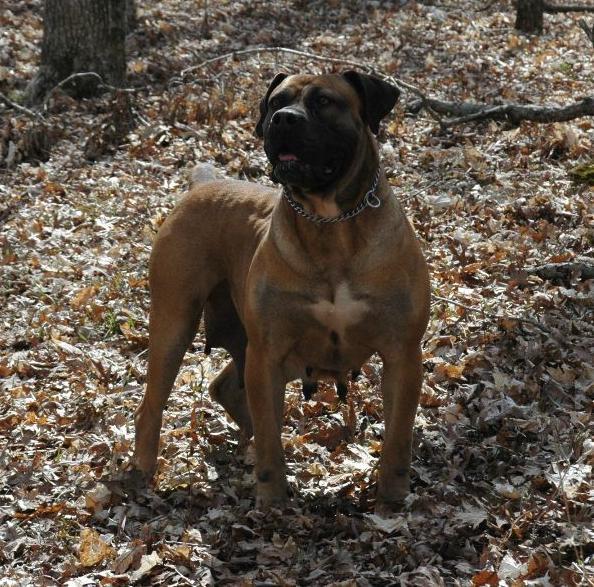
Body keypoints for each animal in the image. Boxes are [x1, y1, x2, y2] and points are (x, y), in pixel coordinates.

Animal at [133, 72, 430, 516]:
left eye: (324, 101)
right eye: (275, 102)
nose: (284, 119)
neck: (331, 223)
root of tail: (204, 184)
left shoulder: (403, 355)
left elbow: (397, 437)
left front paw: (391, 500)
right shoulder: (268, 353)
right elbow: (272, 436)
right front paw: (272, 500)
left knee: (225, 388)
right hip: (175, 322)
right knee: (153, 405)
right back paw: (138, 474)